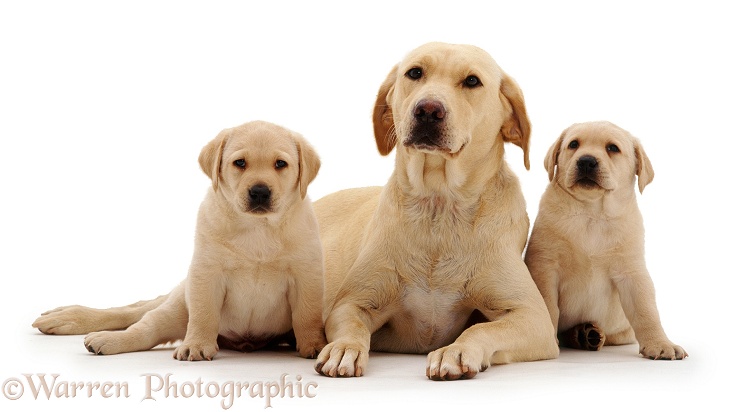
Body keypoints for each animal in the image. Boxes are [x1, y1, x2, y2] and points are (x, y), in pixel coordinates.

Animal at [32, 121, 324, 360]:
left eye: (280, 164)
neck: (258, 227)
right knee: (144, 325)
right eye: (240, 163)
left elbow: (307, 314)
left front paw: (314, 345)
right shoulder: (206, 273)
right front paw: (196, 345)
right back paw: (104, 338)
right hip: (177, 307)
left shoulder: (306, 274)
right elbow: (203, 314)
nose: (260, 192)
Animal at [310, 41, 560, 380]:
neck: (439, 209)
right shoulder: (350, 303)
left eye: (472, 81)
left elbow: (481, 329)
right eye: (415, 73)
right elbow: (352, 326)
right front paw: (344, 348)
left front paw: (455, 351)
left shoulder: (533, 317)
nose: (428, 110)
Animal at [524, 120, 684, 360]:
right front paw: (546, 341)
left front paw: (660, 343)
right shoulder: (545, 266)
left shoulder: (631, 272)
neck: (592, 213)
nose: (586, 161)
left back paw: (586, 334)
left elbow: (646, 311)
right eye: (573, 144)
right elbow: (548, 306)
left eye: (612, 148)